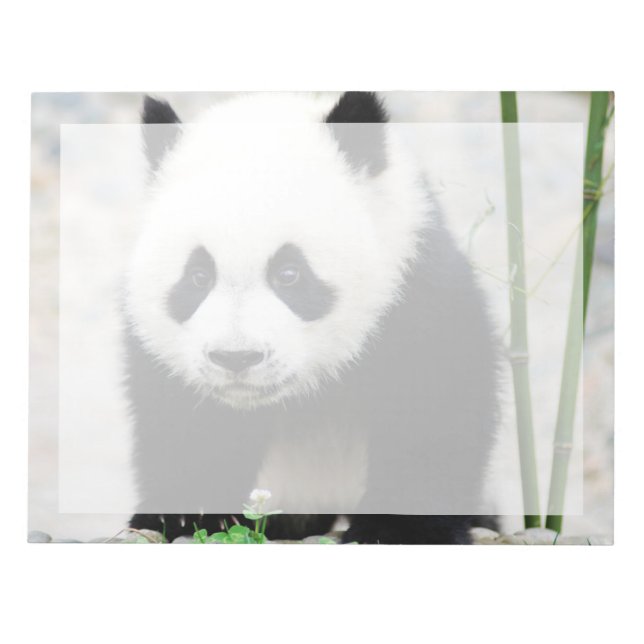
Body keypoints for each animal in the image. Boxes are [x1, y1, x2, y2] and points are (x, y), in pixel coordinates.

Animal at [126, 91, 499, 544]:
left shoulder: (414, 286)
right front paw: (186, 515)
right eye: (198, 276)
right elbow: (181, 418)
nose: (237, 358)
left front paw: (397, 529)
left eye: (289, 273)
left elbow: (437, 403)